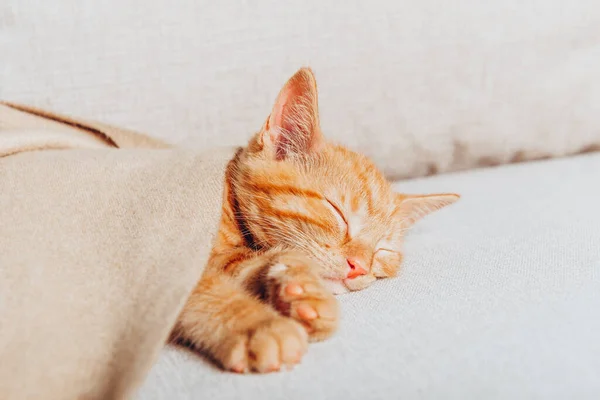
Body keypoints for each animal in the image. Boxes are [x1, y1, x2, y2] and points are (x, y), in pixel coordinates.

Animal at [173, 68, 460, 372]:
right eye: (338, 213)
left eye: (382, 250)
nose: (358, 267)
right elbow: (197, 288)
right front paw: (257, 323)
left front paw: (300, 288)